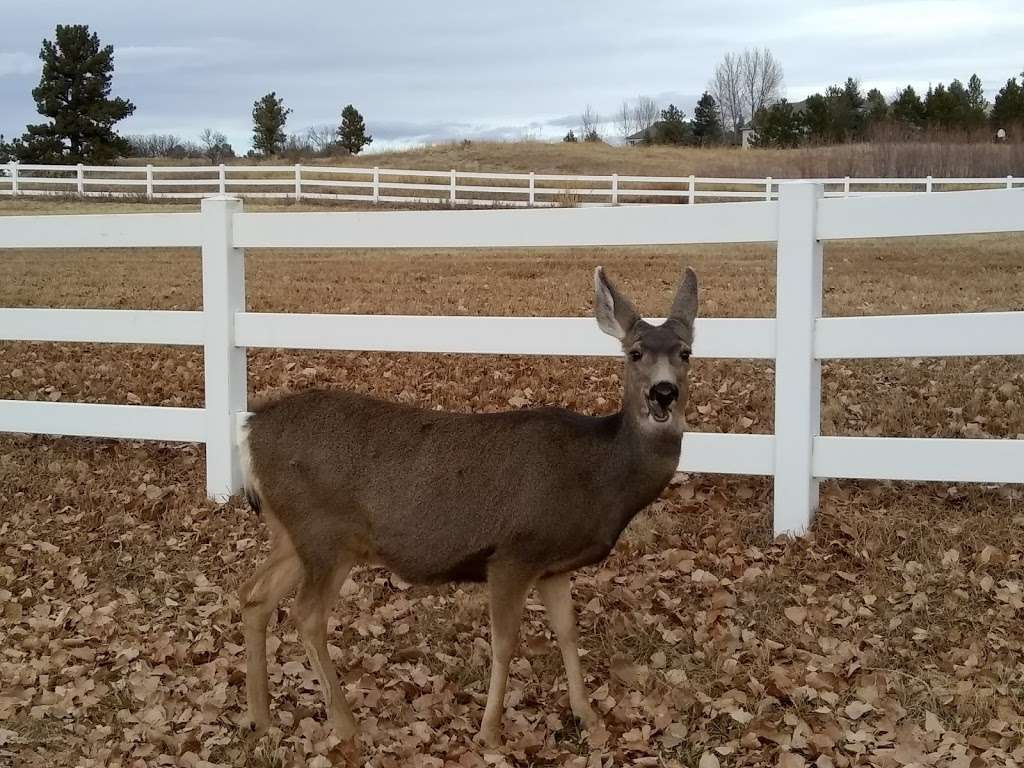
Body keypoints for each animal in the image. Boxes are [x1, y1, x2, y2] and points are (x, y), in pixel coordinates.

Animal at [234, 266, 696, 753]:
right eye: (635, 352)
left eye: (686, 351)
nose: (663, 393)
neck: (598, 477)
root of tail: (250, 429)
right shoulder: (514, 552)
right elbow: (505, 642)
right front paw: (490, 733)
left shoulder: (552, 565)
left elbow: (569, 633)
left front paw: (587, 717)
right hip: (324, 534)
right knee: (306, 615)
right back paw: (344, 724)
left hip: (293, 532)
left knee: (254, 595)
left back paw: (260, 718)